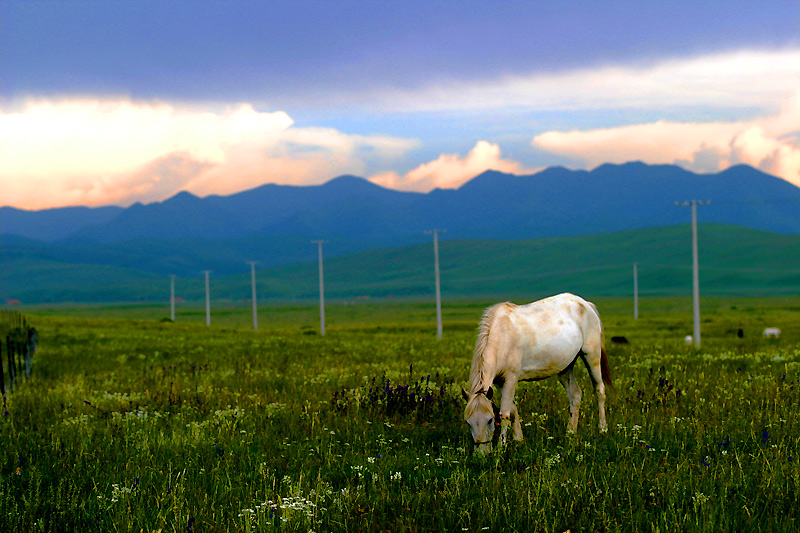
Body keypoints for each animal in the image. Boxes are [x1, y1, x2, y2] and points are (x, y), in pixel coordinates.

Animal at [462, 294, 612, 450]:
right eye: (468, 422)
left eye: (490, 420)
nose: (482, 453)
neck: (501, 336)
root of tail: (585, 303)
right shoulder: (499, 382)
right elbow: (513, 410)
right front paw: (518, 439)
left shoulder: (511, 378)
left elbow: (505, 413)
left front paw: (501, 448)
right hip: (565, 368)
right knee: (575, 394)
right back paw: (570, 432)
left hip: (592, 356)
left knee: (599, 390)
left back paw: (602, 429)